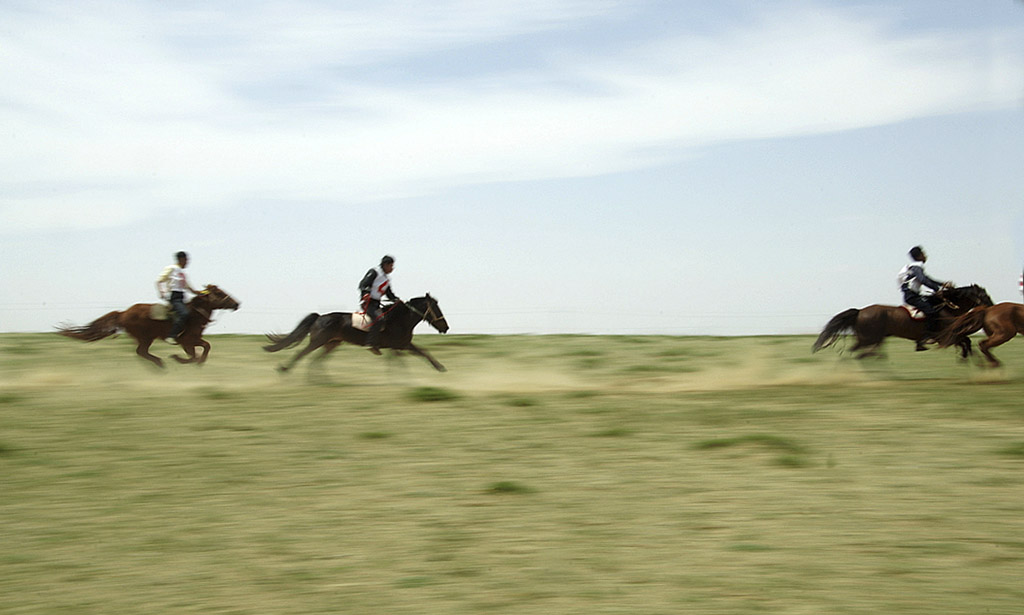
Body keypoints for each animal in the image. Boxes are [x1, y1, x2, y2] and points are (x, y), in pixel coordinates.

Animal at [57, 284, 239, 366]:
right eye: (219, 293)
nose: (237, 303)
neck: (194, 313)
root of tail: (122, 313)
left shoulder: (187, 342)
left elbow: (199, 351)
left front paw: (191, 361)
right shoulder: (186, 340)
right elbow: (202, 349)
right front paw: (180, 359)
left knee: (141, 352)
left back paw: (159, 363)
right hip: (145, 337)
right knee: (141, 351)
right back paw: (160, 363)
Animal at [266, 294, 450, 372]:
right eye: (435, 308)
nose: (445, 327)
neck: (400, 319)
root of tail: (319, 317)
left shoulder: (402, 345)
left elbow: (423, 353)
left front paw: (440, 367)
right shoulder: (399, 346)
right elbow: (406, 360)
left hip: (332, 344)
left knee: (315, 360)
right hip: (318, 341)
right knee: (301, 354)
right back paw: (283, 370)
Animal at [806, 284, 991, 360]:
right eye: (984, 296)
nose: (992, 306)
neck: (947, 308)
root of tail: (860, 311)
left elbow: (966, 341)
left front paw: (968, 357)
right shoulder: (944, 337)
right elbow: (965, 341)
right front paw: (967, 357)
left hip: (871, 338)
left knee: (861, 351)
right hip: (869, 338)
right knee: (858, 351)